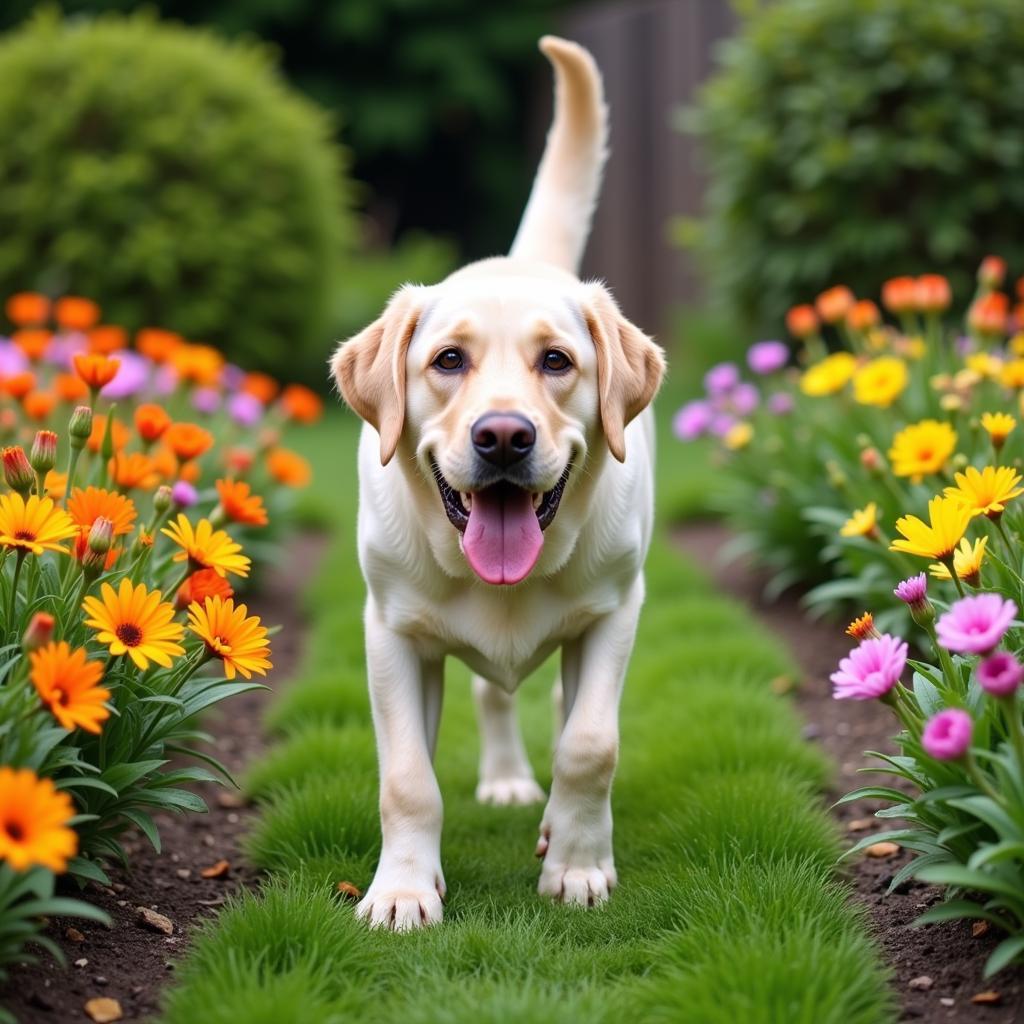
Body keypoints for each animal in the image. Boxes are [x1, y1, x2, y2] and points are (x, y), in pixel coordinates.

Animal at [327, 36, 663, 929]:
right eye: (449, 360)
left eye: (557, 361)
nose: (504, 437)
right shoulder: (390, 632)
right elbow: (407, 779)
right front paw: (402, 890)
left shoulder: (617, 612)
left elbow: (589, 744)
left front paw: (577, 866)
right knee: (494, 697)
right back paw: (509, 781)